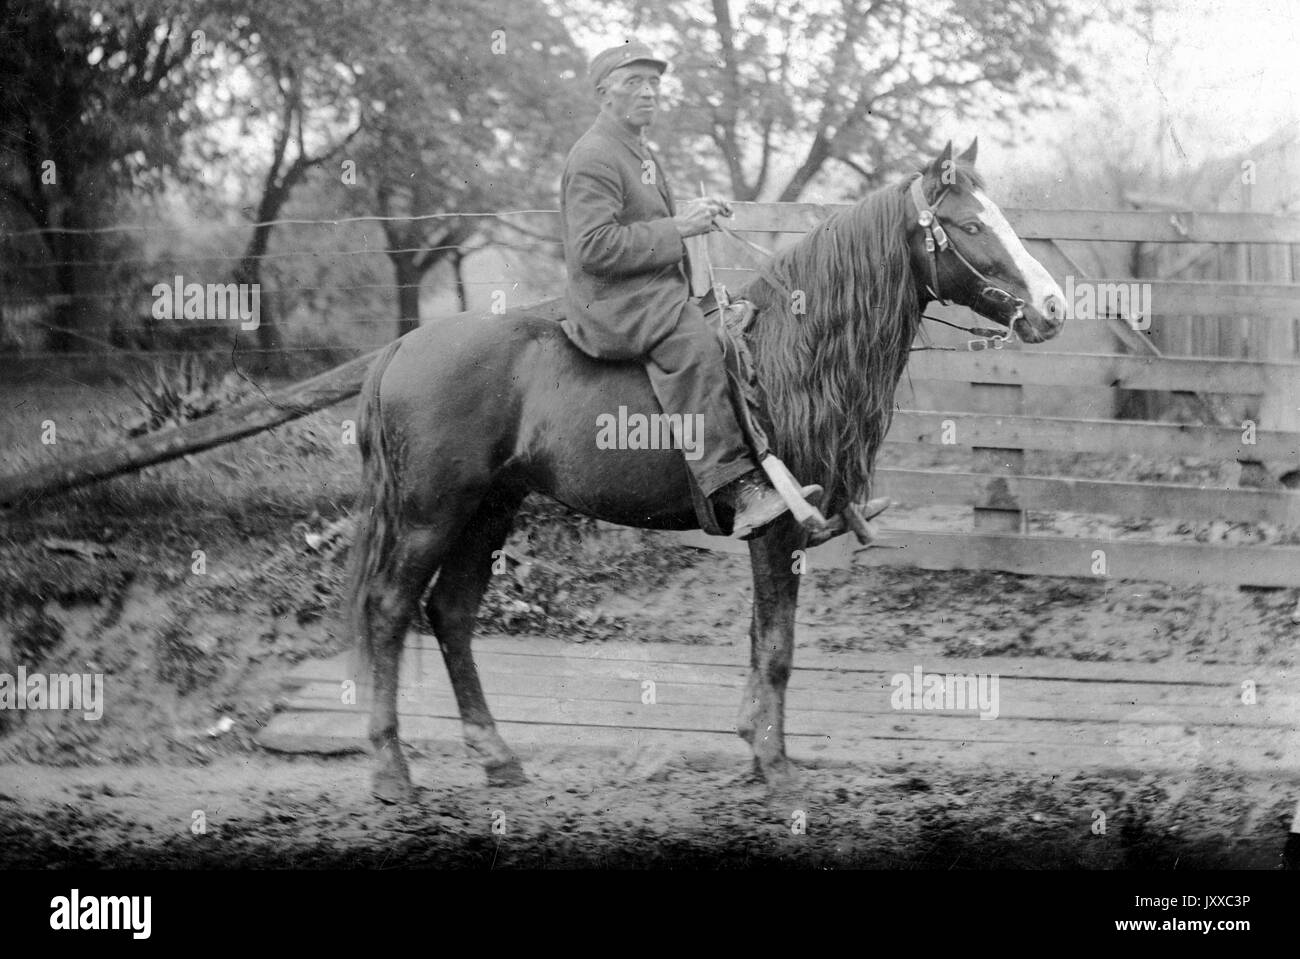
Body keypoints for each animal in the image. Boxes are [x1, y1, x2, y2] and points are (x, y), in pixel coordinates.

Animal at [345, 139, 1066, 802]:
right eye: (969, 226)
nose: (1055, 306)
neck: (792, 351)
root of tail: (401, 346)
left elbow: (759, 636)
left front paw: (755, 744)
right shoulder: (778, 529)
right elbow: (776, 645)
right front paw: (776, 765)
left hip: (490, 509)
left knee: (451, 613)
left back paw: (496, 757)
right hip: (430, 514)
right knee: (389, 609)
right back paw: (390, 768)